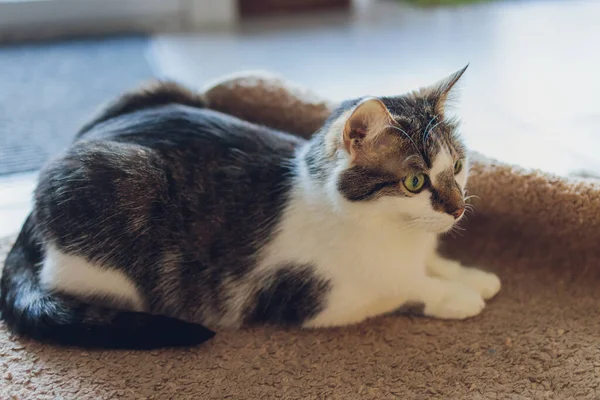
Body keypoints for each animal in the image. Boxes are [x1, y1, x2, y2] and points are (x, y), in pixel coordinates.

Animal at [0, 65, 500, 346]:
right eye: (415, 181)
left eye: (457, 166)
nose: (457, 209)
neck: (391, 232)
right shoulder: (320, 298)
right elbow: (401, 288)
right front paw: (456, 296)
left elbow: (434, 265)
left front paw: (473, 276)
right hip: (112, 206)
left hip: (162, 89)